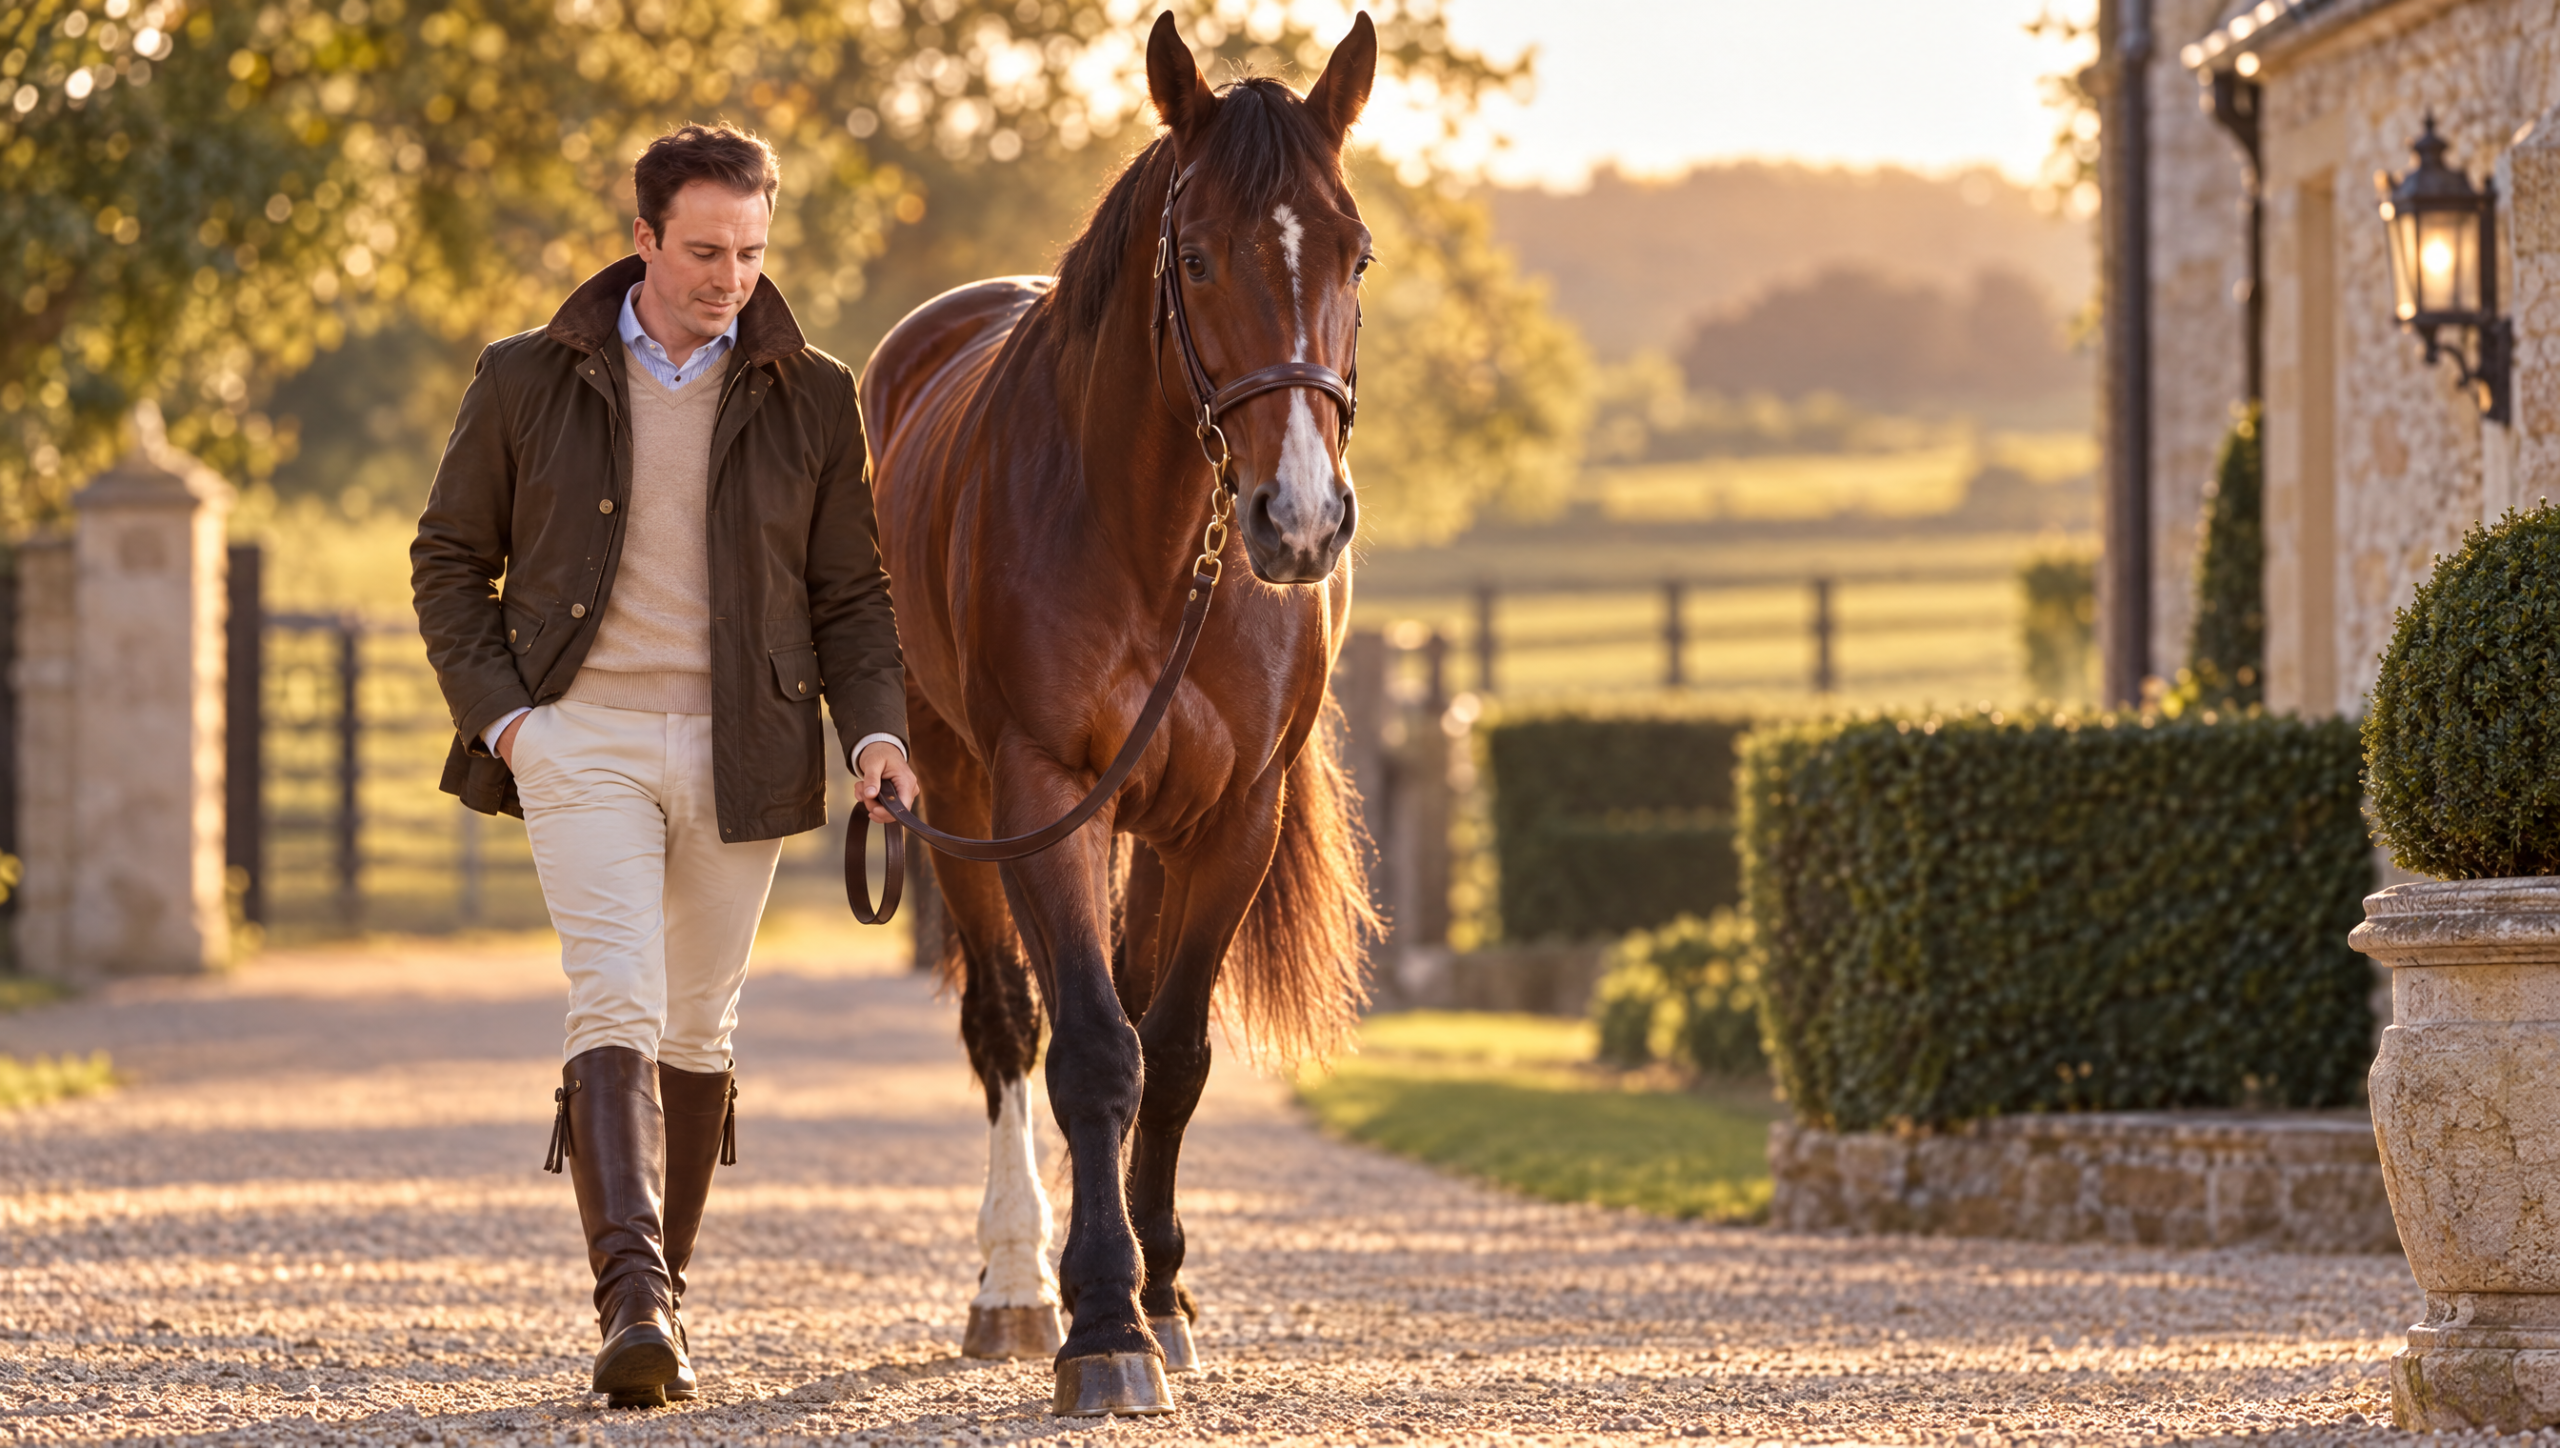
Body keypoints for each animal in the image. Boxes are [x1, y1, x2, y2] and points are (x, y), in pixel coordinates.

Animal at [855, 9, 1382, 1419]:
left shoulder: (1232, 816)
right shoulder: (1043, 795)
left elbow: (1174, 1049)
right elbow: (1091, 1048)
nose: (1296, 520)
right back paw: (1014, 1285)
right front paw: (1100, 1322)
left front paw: (1162, 1294)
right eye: (1194, 256)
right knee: (1008, 1023)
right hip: (952, 790)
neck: (1157, 541)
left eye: (1356, 250)